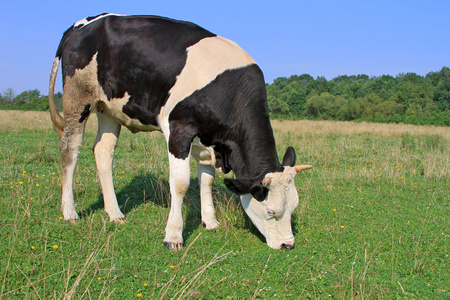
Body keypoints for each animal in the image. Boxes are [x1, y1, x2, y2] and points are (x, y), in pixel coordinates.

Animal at [48, 12, 310, 250]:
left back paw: (115, 213)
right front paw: (173, 236)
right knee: (70, 150)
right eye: (271, 211)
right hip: (77, 97)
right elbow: (181, 183)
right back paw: (70, 212)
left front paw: (210, 222)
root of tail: (86, 21)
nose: (288, 245)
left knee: (103, 151)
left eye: (294, 207)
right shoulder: (178, 129)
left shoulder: (208, 138)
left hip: (108, 107)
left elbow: (207, 179)